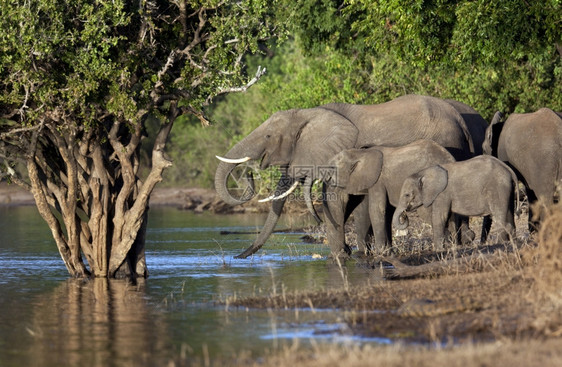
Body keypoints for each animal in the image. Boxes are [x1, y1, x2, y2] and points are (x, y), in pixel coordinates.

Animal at [320, 139, 456, 254]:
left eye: (332, 171)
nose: (346, 250)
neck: (360, 153)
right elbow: (384, 212)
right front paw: (389, 252)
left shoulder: (378, 181)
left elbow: (376, 210)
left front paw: (380, 254)